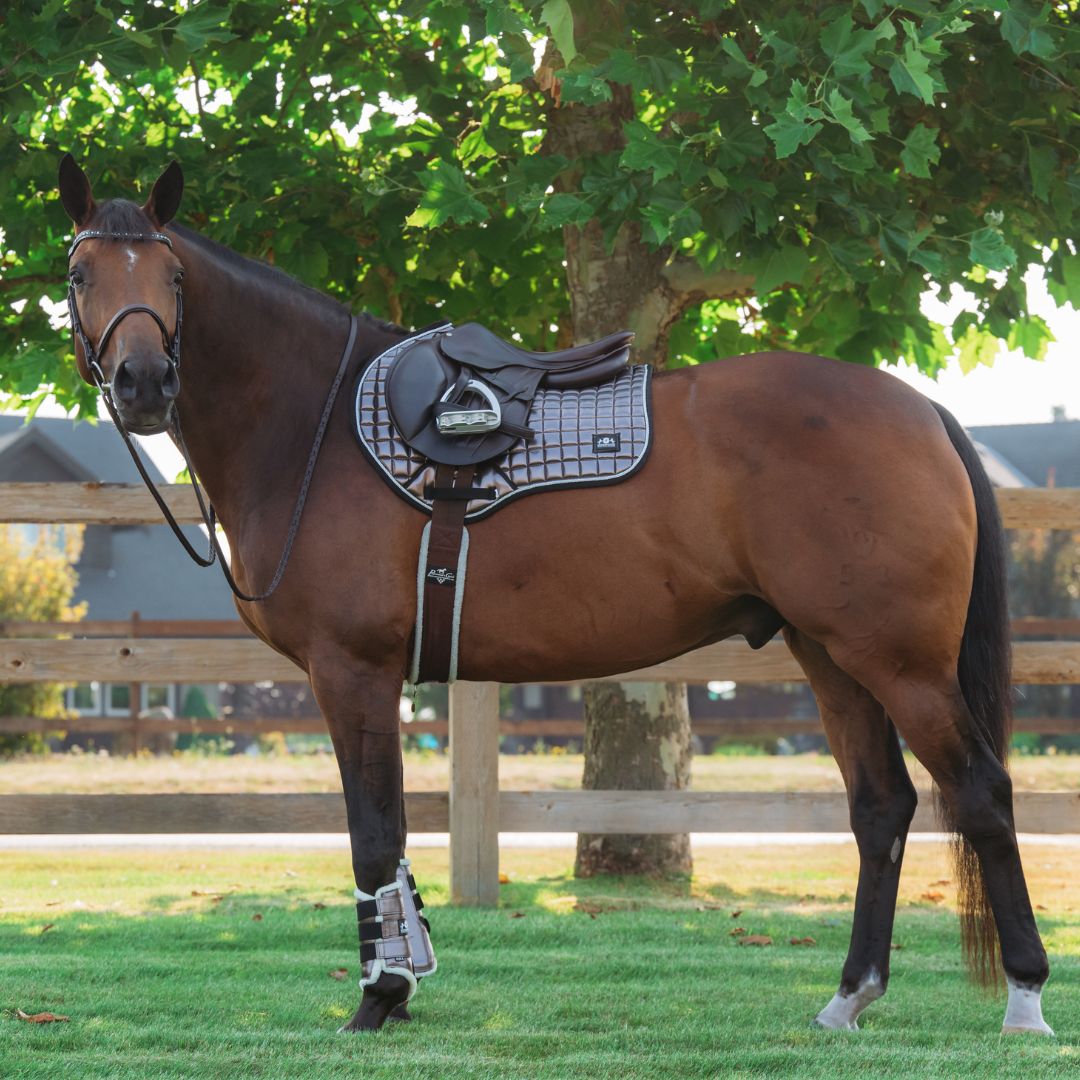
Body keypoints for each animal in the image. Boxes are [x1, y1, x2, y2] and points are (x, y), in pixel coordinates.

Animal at [55, 155, 1053, 1036]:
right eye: (78, 273)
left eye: (171, 275)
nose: (144, 382)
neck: (318, 424)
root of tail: (922, 412)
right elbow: (390, 835)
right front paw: (401, 988)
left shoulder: (353, 672)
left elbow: (374, 835)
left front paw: (381, 997)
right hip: (833, 654)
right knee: (881, 807)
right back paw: (849, 997)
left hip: (900, 662)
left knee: (981, 793)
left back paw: (1025, 998)